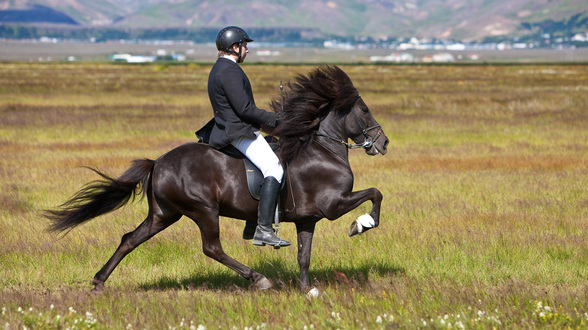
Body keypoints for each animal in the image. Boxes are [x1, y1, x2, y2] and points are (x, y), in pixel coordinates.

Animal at [44, 65, 386, 294]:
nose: (383, 144)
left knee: (130, 238)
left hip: (165, 213)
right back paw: (259, 279)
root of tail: (159, 163)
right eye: (365, 109)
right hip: (203, 210)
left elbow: (304, 255)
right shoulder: (333, 205)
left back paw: (99, 281)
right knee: (212, 248)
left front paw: (308, 290)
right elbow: (375, 193)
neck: (321, 150)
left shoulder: (308, 218)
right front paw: (361, 225)